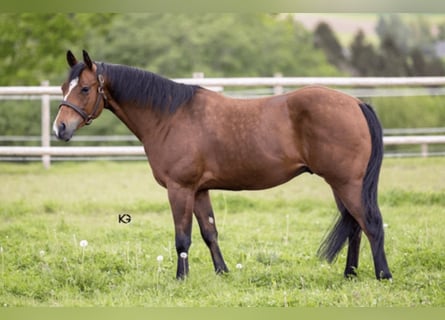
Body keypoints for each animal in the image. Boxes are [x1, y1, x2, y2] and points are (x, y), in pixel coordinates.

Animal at [53, 50, 392, 280]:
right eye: (62, 88)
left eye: (85, 89)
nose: (60, 129)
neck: (170, 116)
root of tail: (356, 103)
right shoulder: (200, 190)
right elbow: (209, 232)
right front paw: (222, 272)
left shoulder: (180, 189)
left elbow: (183, 237)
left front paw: (181, 278)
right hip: (341, 184)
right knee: (355, 227)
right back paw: (350, 273)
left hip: (347, 183)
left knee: (371, 224)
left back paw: (383, 275)